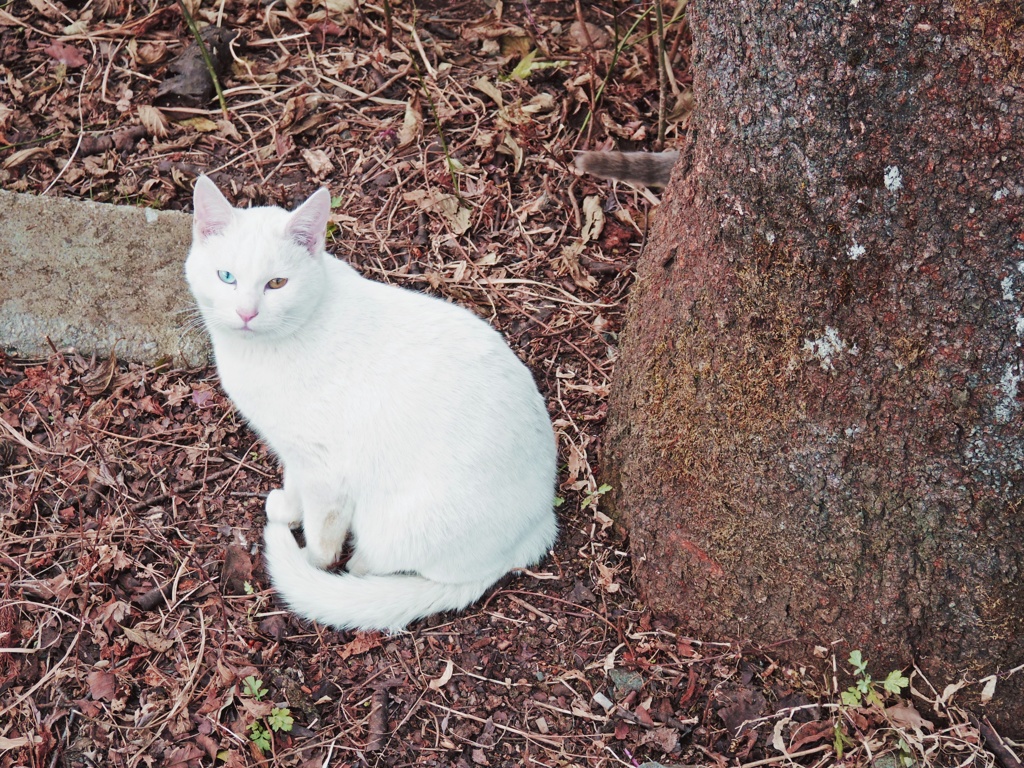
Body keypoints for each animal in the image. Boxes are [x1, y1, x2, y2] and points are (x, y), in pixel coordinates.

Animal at [180, 179, 557, 630]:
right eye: (227, 277)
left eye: (277, 283)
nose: (246, 313)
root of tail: (538, 528)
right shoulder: (296, 451)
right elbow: (294, 482)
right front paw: (287, 508)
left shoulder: (327, 471)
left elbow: (322, 539)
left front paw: (308, 559)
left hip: (392, 524)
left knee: (367, 566)